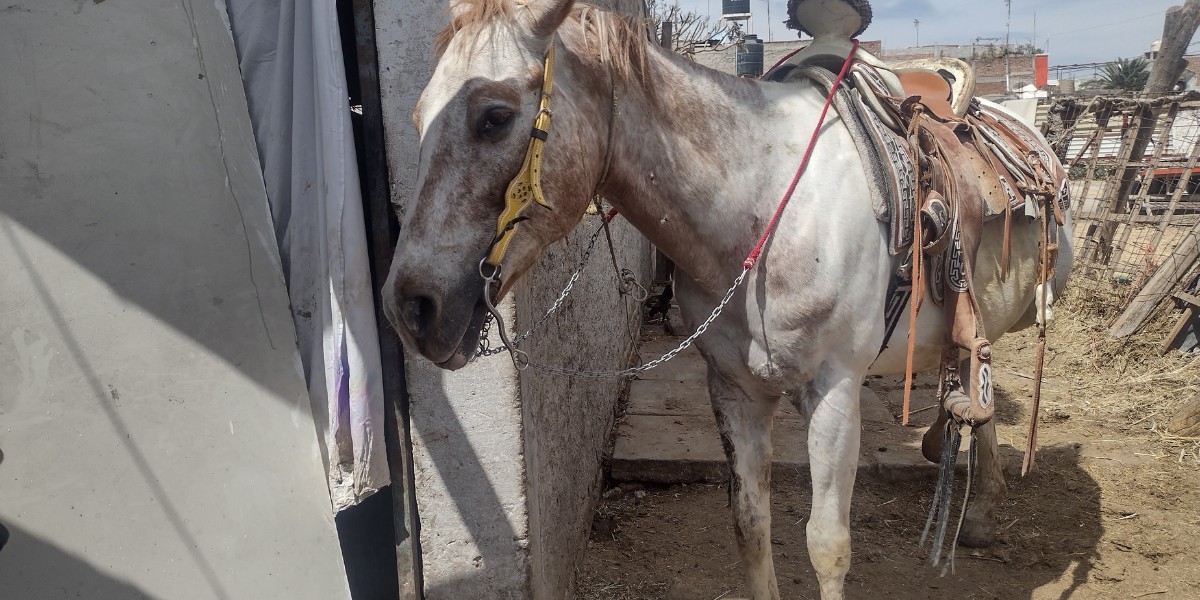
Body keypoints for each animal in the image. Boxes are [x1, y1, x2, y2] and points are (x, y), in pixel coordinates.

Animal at [381, 1, 1073, 597]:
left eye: (494, 115)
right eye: (416, 117)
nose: (410, 308)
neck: (764, 207)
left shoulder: (836, 392)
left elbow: (827, 545)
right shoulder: (734, 387)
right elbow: (750, 525)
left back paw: (980, 509)